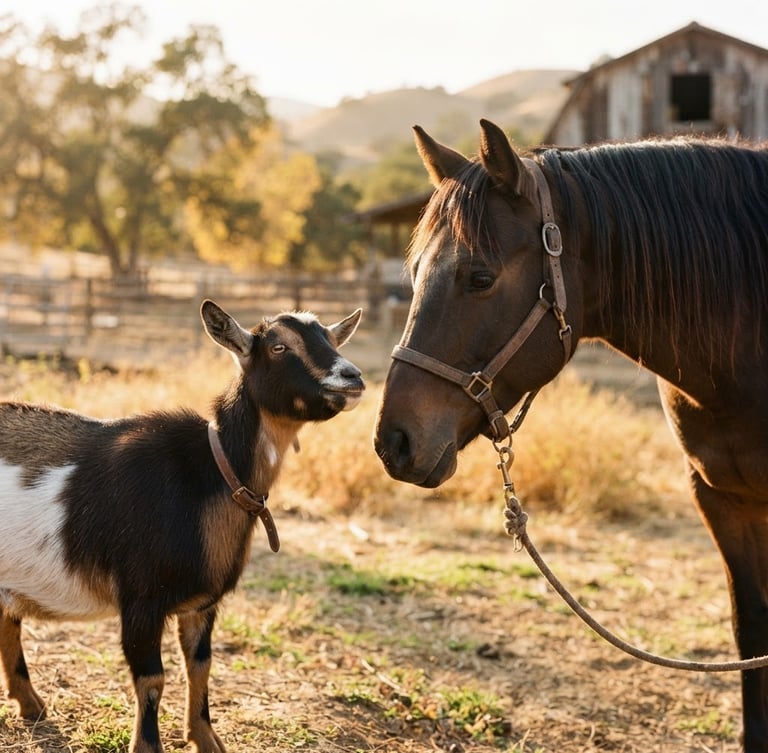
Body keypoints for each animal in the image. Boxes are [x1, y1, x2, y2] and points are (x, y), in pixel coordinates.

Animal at [0, 299, 364, 753]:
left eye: (332, 338)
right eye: (278, 346)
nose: (353, 377)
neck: (213, 475)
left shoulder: (202, 604)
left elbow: (201, 665)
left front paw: (206, 738)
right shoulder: (141, 598)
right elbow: (152, 679)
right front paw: (147, 745)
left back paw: (31, 705)